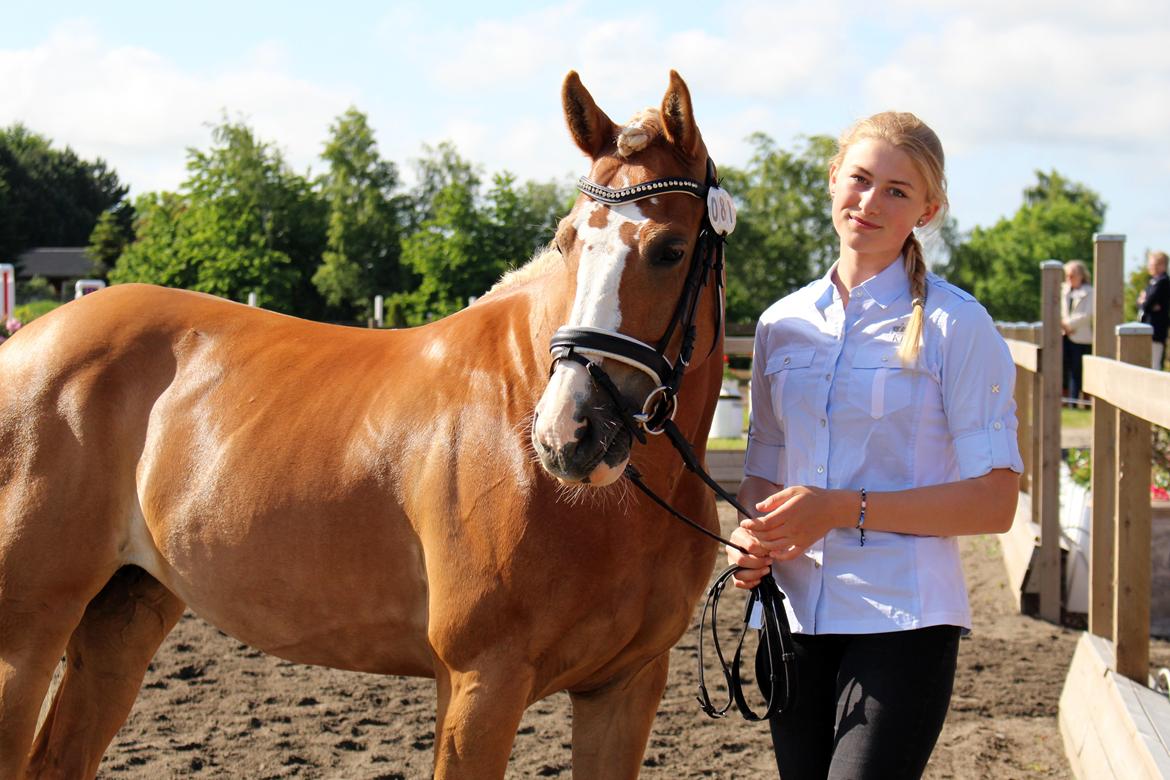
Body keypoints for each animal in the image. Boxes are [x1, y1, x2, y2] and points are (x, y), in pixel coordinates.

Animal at [0, 70, 727, 779]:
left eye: (670, 249)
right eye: (566, 240)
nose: (568, 434)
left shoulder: (625, 687)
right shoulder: (480, 684)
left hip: (125, 611)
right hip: (26, 634)